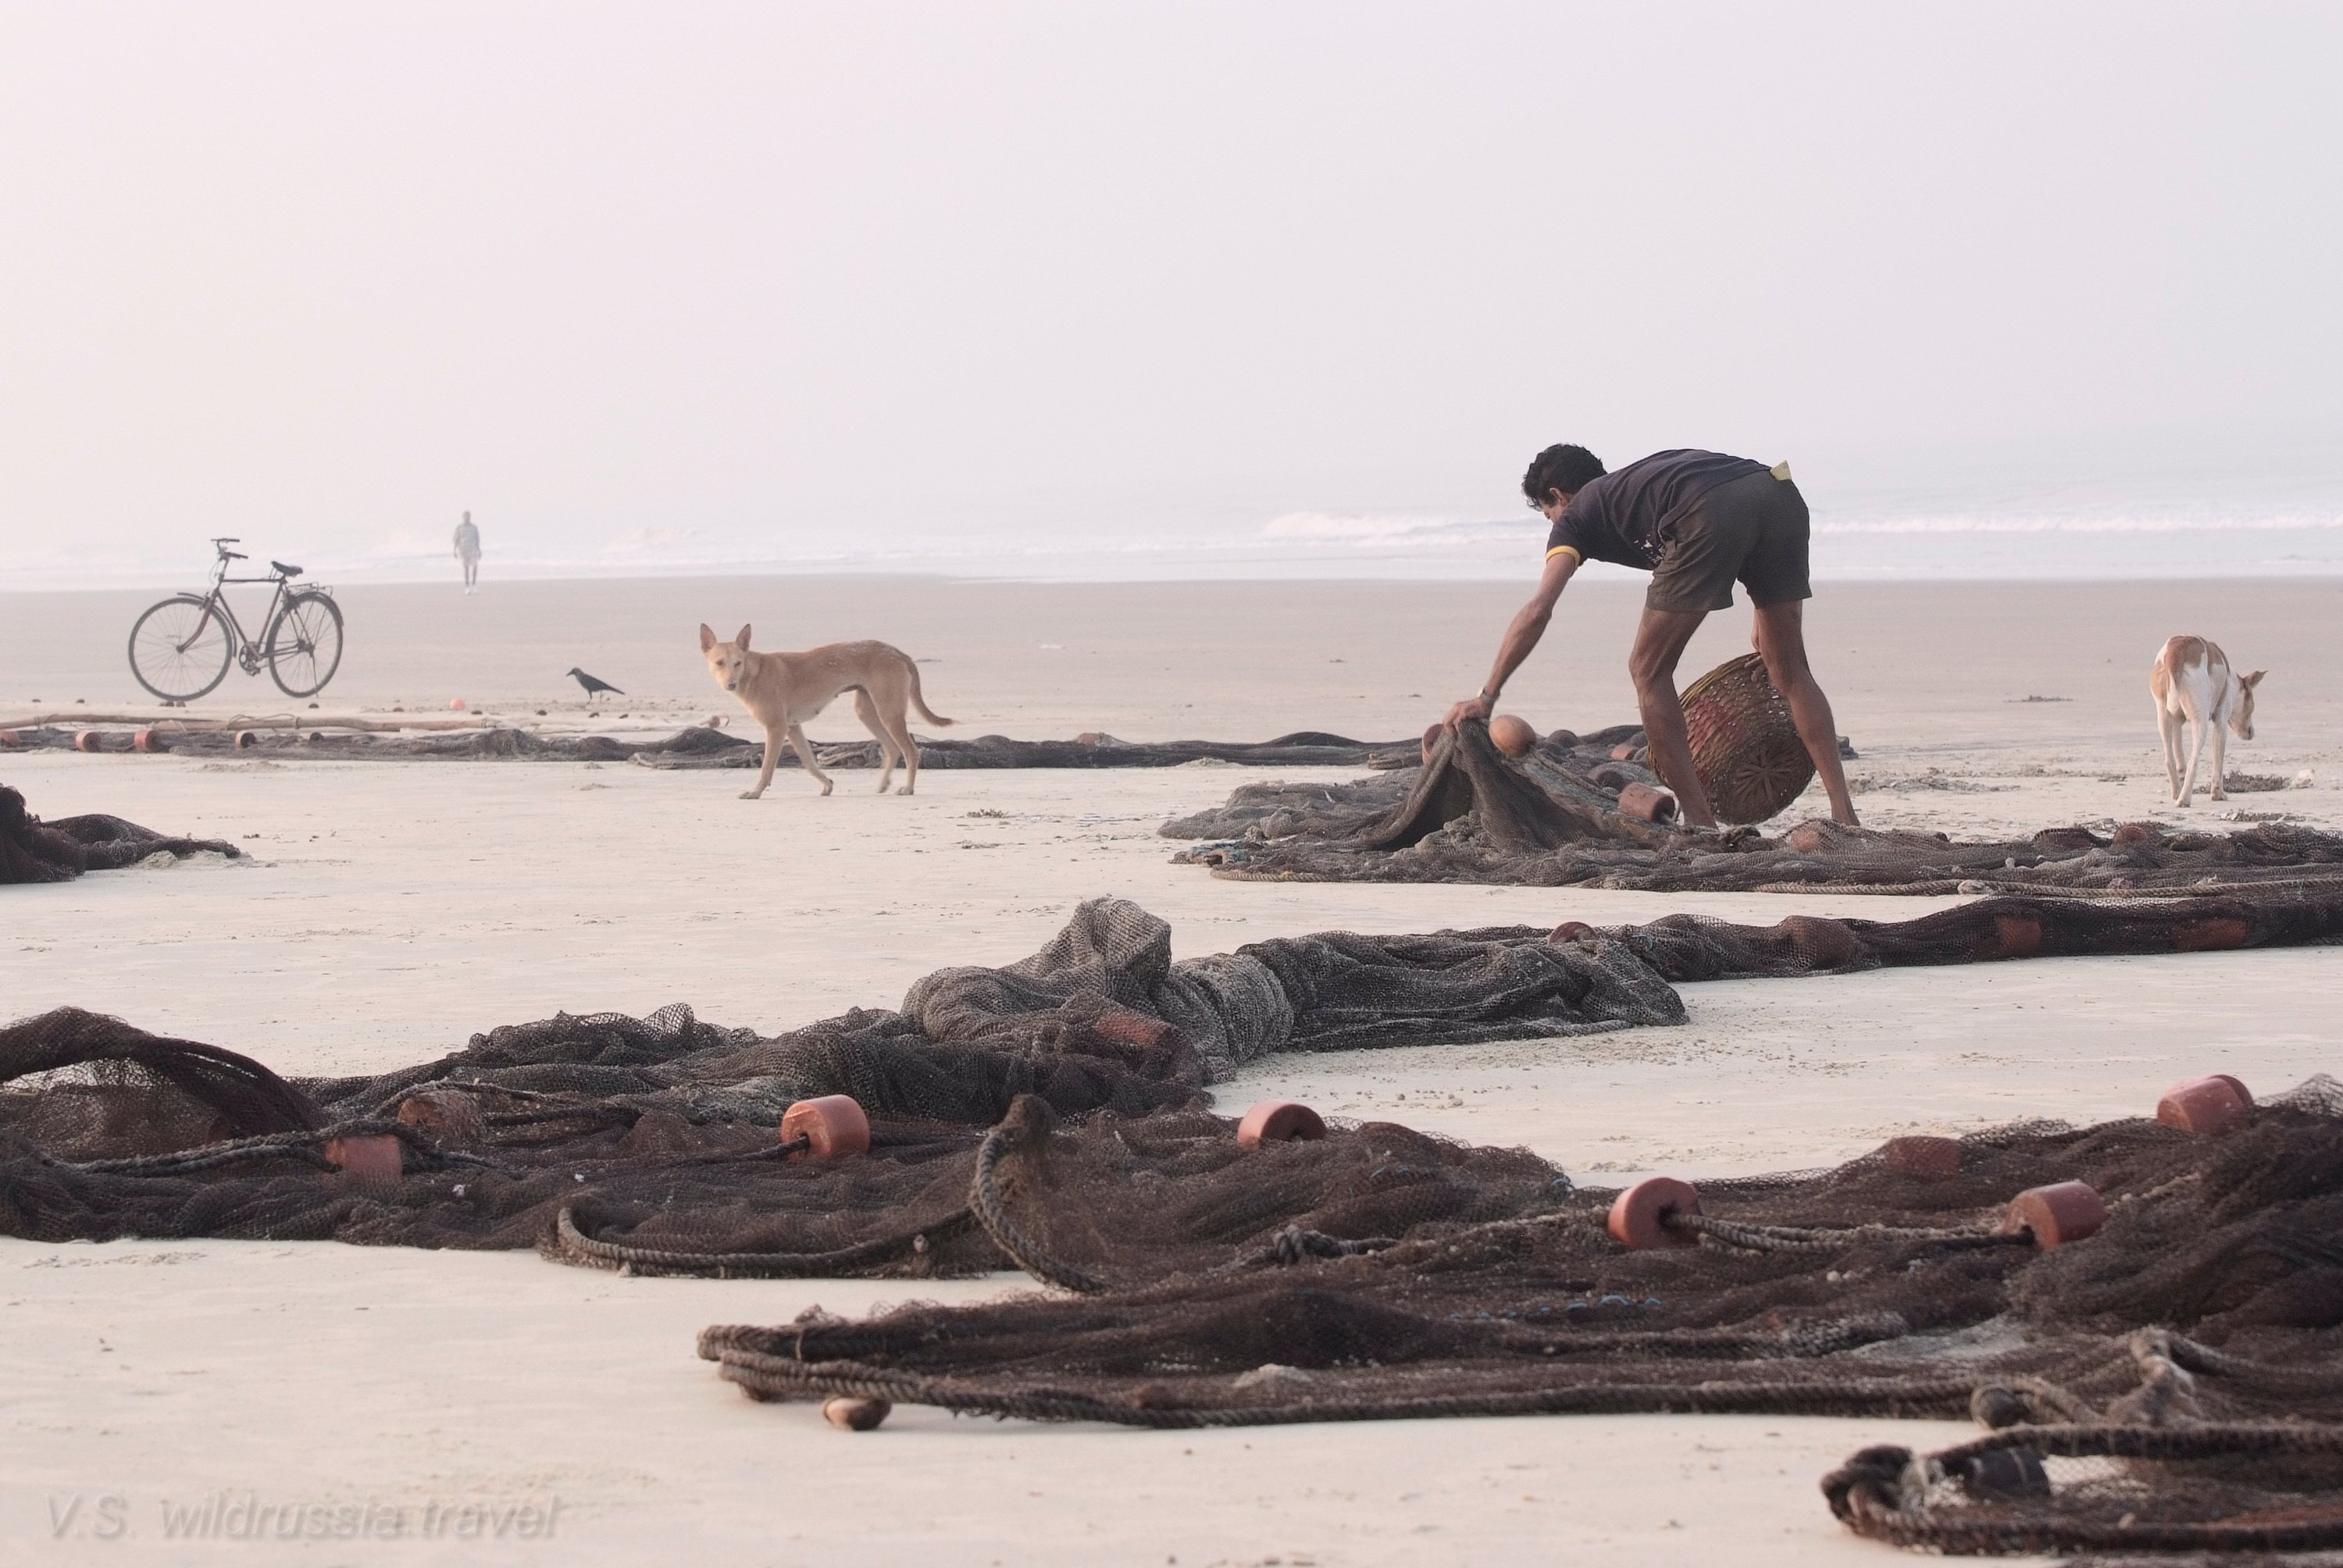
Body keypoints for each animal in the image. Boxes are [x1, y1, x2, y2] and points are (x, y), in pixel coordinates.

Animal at [694, 618, 951, 796]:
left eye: (738, 663)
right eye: (719, 663)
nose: (731, 684)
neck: (754, 673)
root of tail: (899, 652)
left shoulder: (776, 728)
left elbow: (767, 767)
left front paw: (755, 792)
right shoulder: (792, 728)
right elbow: (809, 761)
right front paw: (827, 784)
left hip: (889, 712)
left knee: (911, 751)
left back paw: (908, 788)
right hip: (868, 712)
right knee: (892, 748)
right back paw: (882, 785)